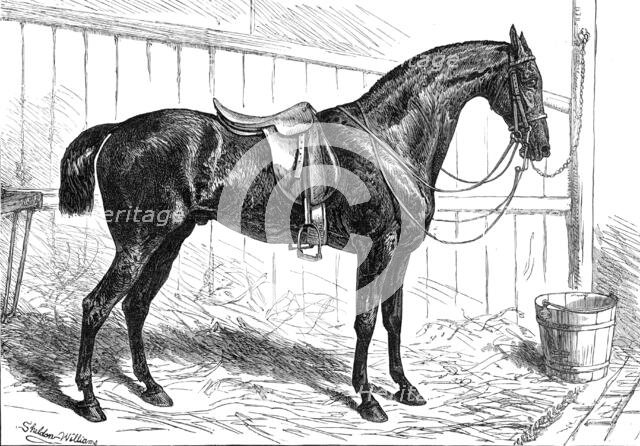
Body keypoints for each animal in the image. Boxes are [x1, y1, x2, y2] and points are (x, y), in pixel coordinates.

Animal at [58, 25, 550, 423]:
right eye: (529, 79)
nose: (542, 146)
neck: (387, 140)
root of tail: (118, 129)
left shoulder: (400, 253)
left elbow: (394, 318)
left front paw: (406, 387)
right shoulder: (377, 247)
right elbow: (366, 320)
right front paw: (368, 399)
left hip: (168, 242)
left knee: (135, 306)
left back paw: (151, 388)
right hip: (138, 245)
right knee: (97, 306)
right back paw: (90, 401)